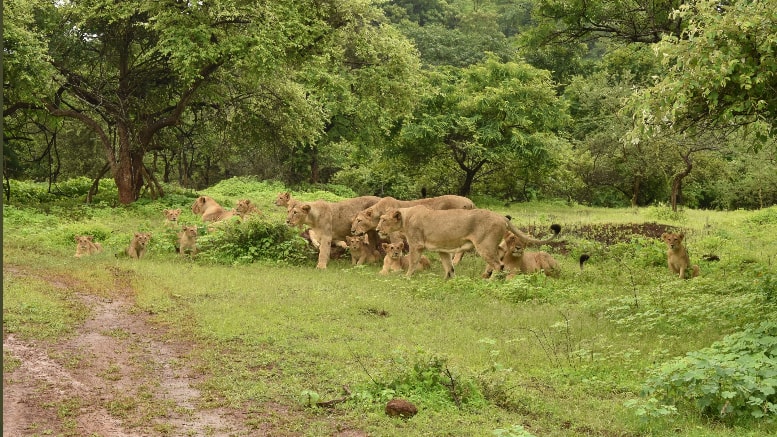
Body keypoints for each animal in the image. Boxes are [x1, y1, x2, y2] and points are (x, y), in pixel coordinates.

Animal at [374, 205, 556, 280]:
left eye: (383, 220)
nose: (376, 229)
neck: (405, 218)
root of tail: (501, 217)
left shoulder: (416, 245)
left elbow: (412, 262)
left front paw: (406, 277)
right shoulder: (442, 249)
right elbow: (449, 266)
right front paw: (449, 281)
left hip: (484, 245)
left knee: (499, 264)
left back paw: (489, 282)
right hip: (490, 244)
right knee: (501, 253)